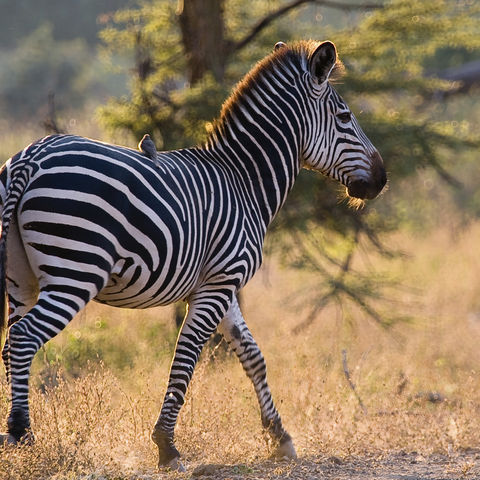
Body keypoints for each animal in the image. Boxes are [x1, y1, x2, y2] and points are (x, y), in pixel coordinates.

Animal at [0, 40, 386, 468]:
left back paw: (14, 432)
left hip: (20, 276)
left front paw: (279, 437)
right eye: (345, 116)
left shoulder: (223, 284)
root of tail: (31, 158)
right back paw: (22, 432)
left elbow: (253, 354)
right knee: (24, 337)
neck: (243, 182)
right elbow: (186, 358)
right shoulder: (219, 283)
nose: (382, 179)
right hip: (75, 271)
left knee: (10, 343)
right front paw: (166, 446)